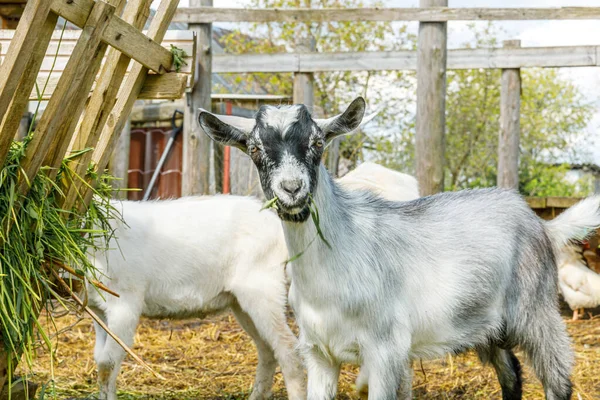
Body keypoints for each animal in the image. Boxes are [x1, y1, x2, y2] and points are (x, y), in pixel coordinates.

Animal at [85, 197, 304, 400]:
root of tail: (277, 228)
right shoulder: (99, 312)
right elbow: (100, 359)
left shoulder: (125, 303)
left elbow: (108, 362)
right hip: (242, 304)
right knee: (267, 349)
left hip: (262, 290)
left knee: (288, 348)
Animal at [198, 97, 600, 400]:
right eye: (254, 148)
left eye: (317, 143)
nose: (292, 189)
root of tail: (543, 225)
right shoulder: (319, 353)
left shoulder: (384, 351)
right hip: (485, 325)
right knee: (511, 374)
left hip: (535, 311)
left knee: (558, 378)